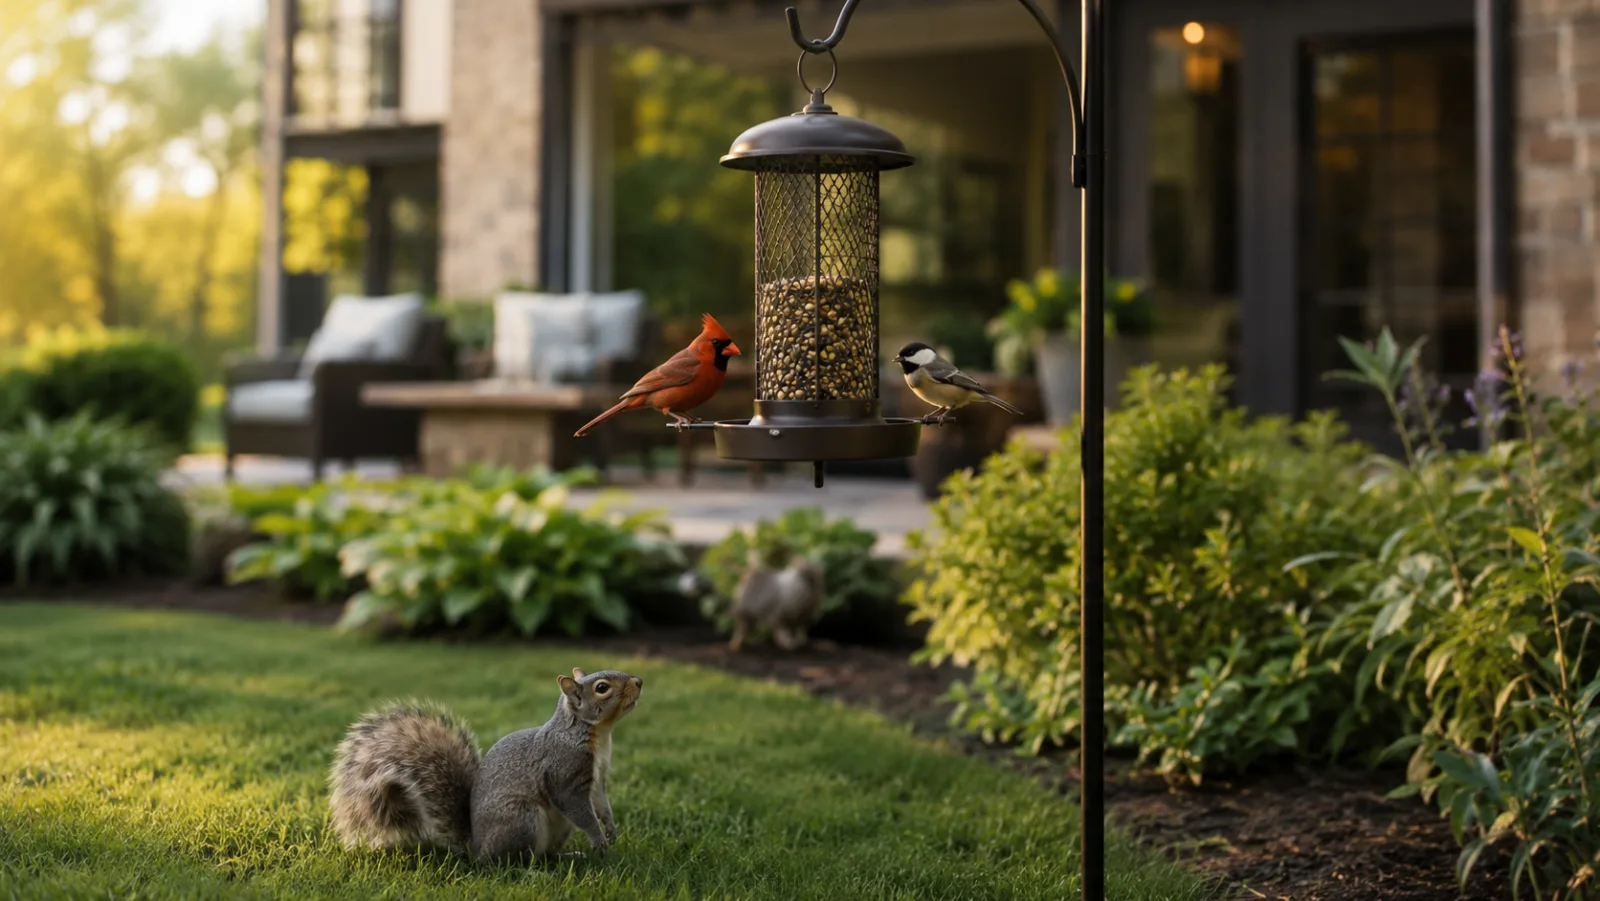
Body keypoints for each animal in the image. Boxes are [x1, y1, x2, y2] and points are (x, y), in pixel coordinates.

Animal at [327, 667, 643, 860]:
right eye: (602, 688)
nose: (639, 682)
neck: (597, 735)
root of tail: (476, 847)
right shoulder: (565, 773)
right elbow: (579, 808)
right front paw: (598, 839)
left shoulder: (598, 778)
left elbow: (600, 803)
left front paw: (610, 830)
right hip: (523, 819)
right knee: (516, 860)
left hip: (558, 826)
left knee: (545, 854)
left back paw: (566, 857)